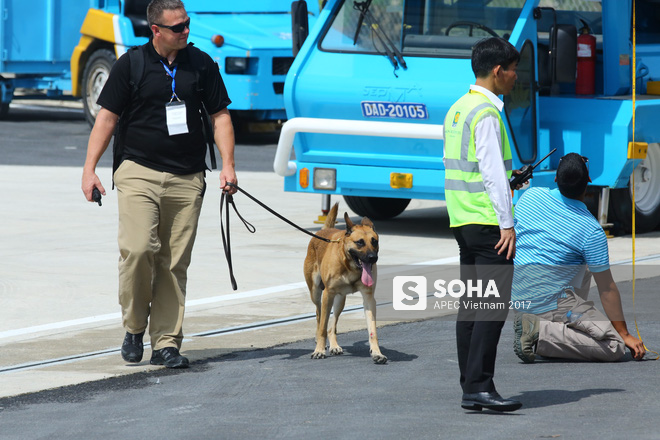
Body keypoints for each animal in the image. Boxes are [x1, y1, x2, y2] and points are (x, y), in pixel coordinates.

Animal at [304, 203, 386, 364]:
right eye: (360, 242)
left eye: (374, 241)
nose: (373, 258)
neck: (350, 266)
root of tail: (324, 230)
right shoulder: (327, 295)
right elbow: (322, 327)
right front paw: (319, 350)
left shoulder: (368, 299)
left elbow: (372, 330)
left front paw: (377, 353)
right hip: (316, 293)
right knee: (319, 316)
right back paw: (319, 341)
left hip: (340, 300)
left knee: (332, 327)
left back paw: (334, 346)